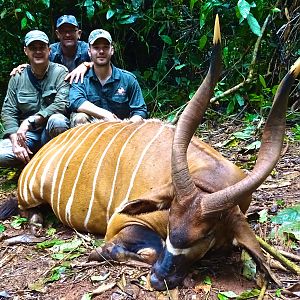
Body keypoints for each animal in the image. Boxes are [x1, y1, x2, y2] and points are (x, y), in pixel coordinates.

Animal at [0, 16, 300, 290]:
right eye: (170, 223)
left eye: (207, 235)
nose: (158, 279)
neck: (208, 179)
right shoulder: (123, 220)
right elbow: (145, 248)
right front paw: (101, 252)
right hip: (31, 193)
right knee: (27, 209)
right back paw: (35, 224)